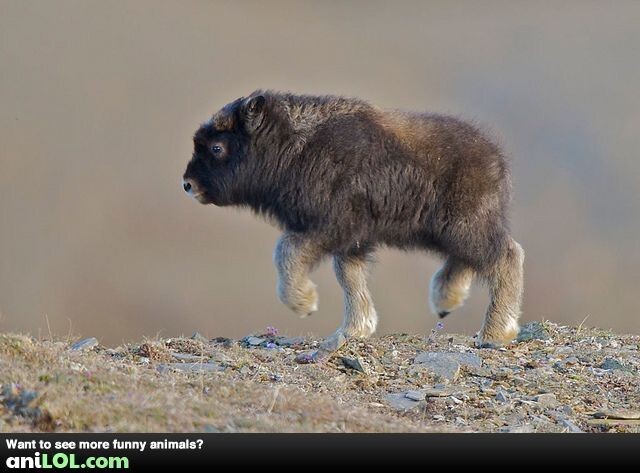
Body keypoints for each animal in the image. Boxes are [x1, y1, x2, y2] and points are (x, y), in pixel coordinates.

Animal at [182, 89, 524, 362]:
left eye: (216, 147)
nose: (188, 184)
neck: (295, 146)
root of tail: (497, 160)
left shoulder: (329, 227)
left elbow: (286, 251)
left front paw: (304, 303)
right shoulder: (351, 240)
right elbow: (349, 277)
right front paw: (357, 328)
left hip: (464, 226)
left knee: (506, 256)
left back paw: (496, 333)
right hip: (453, 232)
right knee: (467, 261)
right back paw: (445, 300)